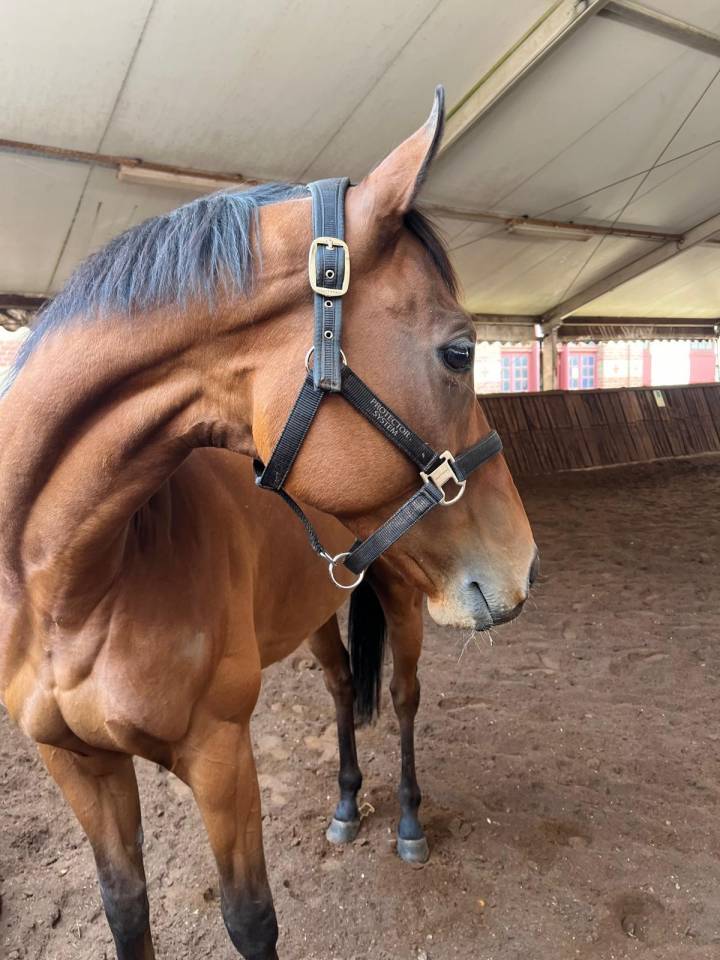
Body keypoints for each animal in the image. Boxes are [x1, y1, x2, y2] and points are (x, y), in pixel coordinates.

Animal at [0, 88, 537, 959]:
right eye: (460, 352)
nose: (525, 563)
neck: (70, 584)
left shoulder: (221, 754)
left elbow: (251, 916)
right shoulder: (79, 765)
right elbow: (125, 908)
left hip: (404, 598)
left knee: (404, 696)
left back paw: (409, 822)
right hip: (315, 612)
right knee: (339, 686)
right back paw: (347, 805)